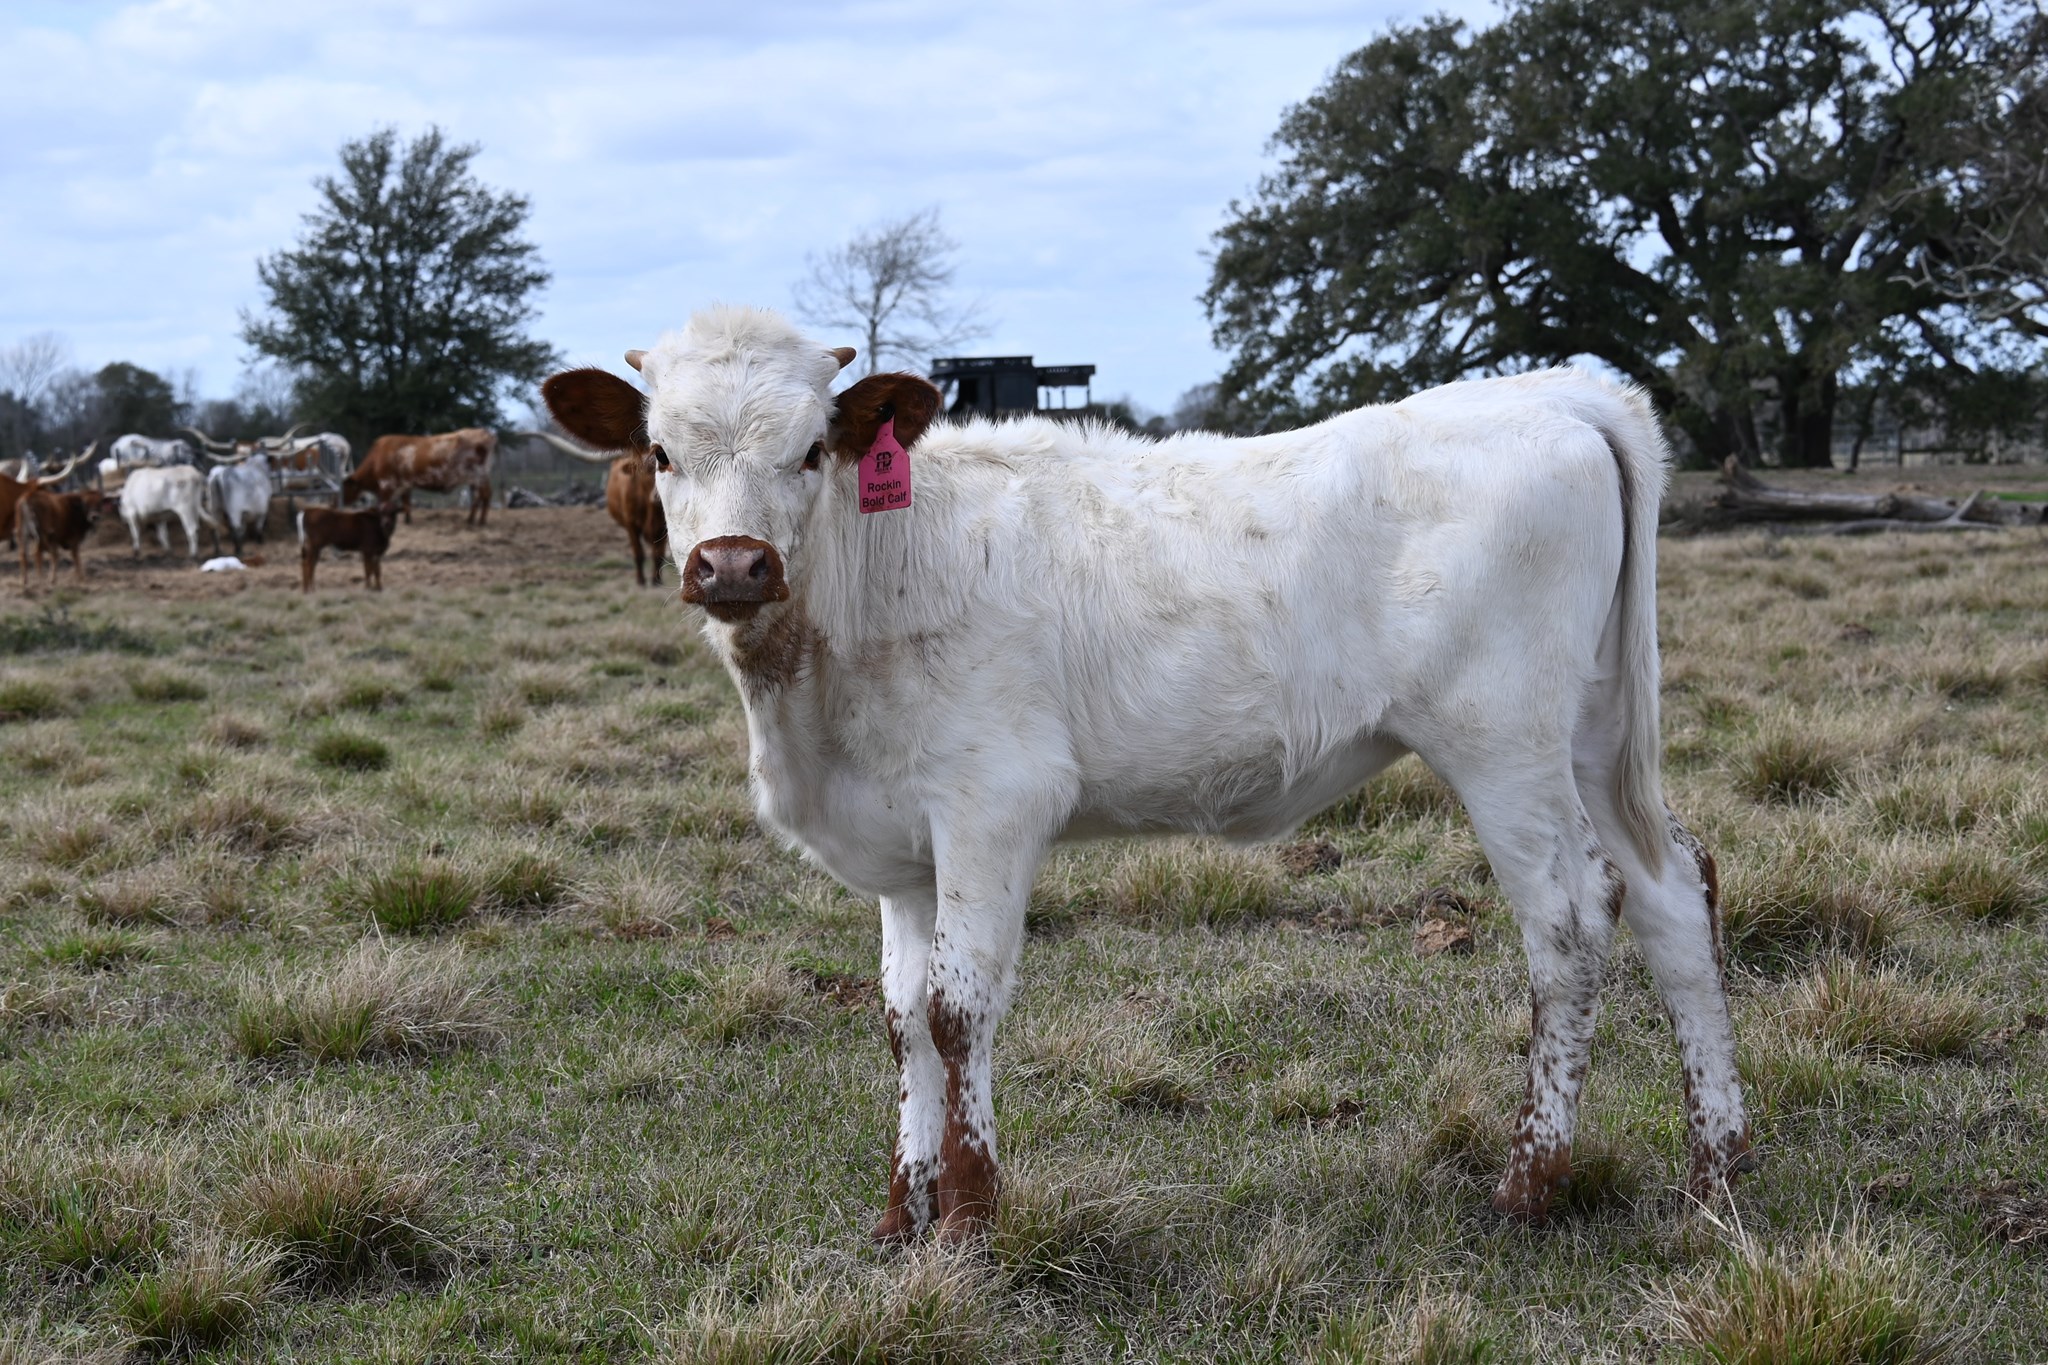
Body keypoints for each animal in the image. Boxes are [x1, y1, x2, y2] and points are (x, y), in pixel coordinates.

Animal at [343, 429, 495, 526]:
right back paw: (471, 520)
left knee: (483, 496)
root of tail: (484, 432)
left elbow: (384, 504)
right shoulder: (405, 484)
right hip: (476, 479)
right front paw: (407, 520)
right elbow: (406, 501)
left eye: (345, 487)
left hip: (479, 477)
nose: (342, 503)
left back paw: (479, 521)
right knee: (479, 497)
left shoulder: (387, 485)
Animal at [520, 429, 669, 585]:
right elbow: (638, 553)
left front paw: (656, 581)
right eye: (644, 471)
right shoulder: (631, 525)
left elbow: (658, 555)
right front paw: (640, 581)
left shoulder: (662, 529)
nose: (657, 497)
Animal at [541, 306, 1753, 1244]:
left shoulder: (992, 804)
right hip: (1594, 726)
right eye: (661, 453)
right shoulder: (900, 845)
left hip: (1503, 741)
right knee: (1670, 891)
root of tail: (1560, 395)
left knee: (1570, 918)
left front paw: (970, 1225)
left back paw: (1529, 1183)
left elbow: (956, 1009)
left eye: (809, 451)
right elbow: (899, 1019)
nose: (733, 566)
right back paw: (1715, 1171)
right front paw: (901, 1217)